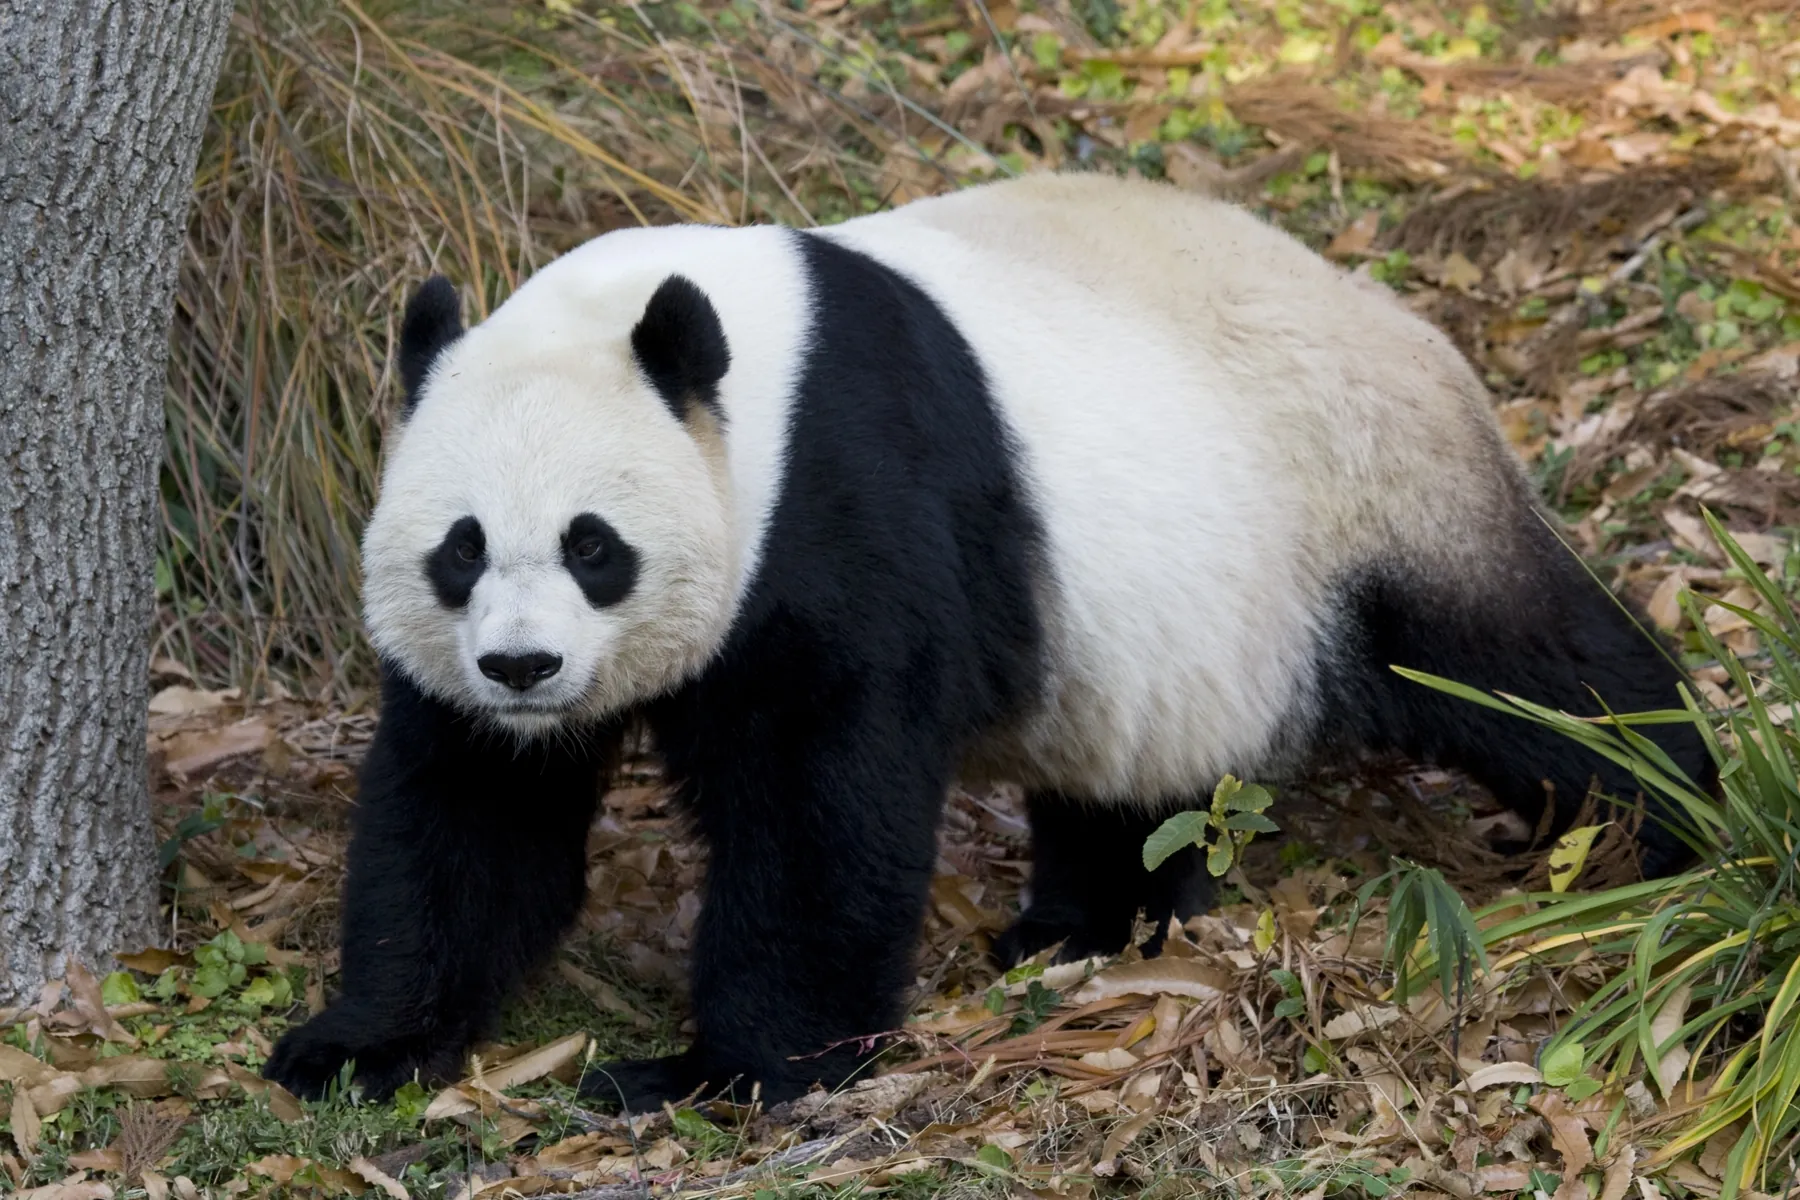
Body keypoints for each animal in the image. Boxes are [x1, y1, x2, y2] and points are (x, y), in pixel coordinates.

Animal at [262, 170, 1713, 1115]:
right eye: (459, 549)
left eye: (592, 546)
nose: (522, 669)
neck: (708, 351)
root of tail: (1409, 321)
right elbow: (471, 814)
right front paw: (356, 1048)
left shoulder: (841, 498)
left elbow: (821, 796)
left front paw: (716, 1072)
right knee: (1137, 778)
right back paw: (1078, 928)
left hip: (1367, 491)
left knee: (1524, 665)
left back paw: (1685, 818)